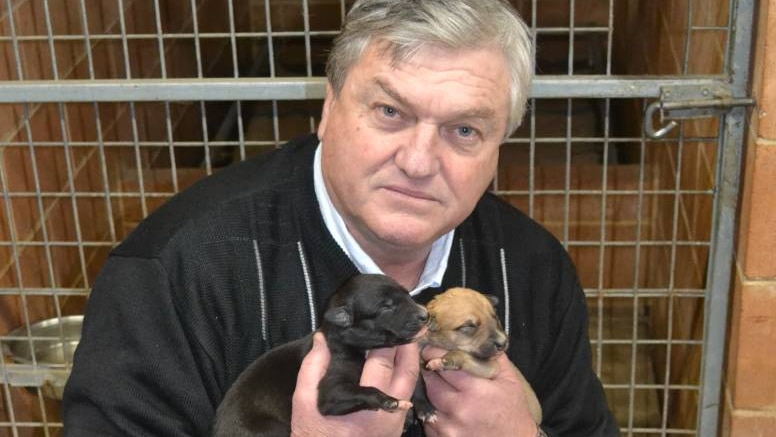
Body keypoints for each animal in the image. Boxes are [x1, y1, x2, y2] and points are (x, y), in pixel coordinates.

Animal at [212, 274, 428, 434]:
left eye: (408, 295)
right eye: (386, 307)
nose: (425, 315)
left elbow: (419, 379)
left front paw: (425, 408)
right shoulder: (332, 392)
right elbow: (367, 389)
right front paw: (388, 401)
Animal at [418, 288, 540, 424]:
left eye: (495, 317)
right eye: (469, 326)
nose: (503, 343)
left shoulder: (491, 367)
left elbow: (462, 355)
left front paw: (443, 362)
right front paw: (424, 408)